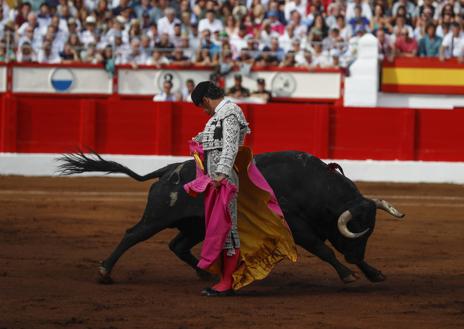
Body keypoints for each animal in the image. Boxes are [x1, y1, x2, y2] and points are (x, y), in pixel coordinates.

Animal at [58, 150, 404, 284]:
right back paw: (104, 271)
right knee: (132, 235)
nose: (355, 255)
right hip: (156, 217)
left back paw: (206, 274)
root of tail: (167, 171)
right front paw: (348, 274)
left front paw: (373, 273)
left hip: (195, 226)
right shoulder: (297, 227)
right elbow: (324, 249)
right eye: (357, 227)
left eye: (371, 229)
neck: (312, 185)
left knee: (177, 246)